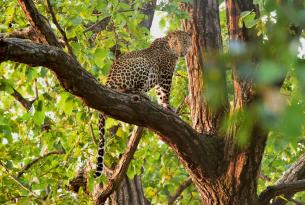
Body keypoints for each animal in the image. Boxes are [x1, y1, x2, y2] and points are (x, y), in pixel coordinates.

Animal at [95, 30, 190, 178]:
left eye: (184, 42)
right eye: (176, 43)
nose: (181, 52)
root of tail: (108, 80)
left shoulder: (160, 77)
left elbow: (160, 94)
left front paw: (164, 106)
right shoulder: (165, 74)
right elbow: (165, 93)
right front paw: (169, 107)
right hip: (142, 62)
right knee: (125, 89)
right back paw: (143, 94)